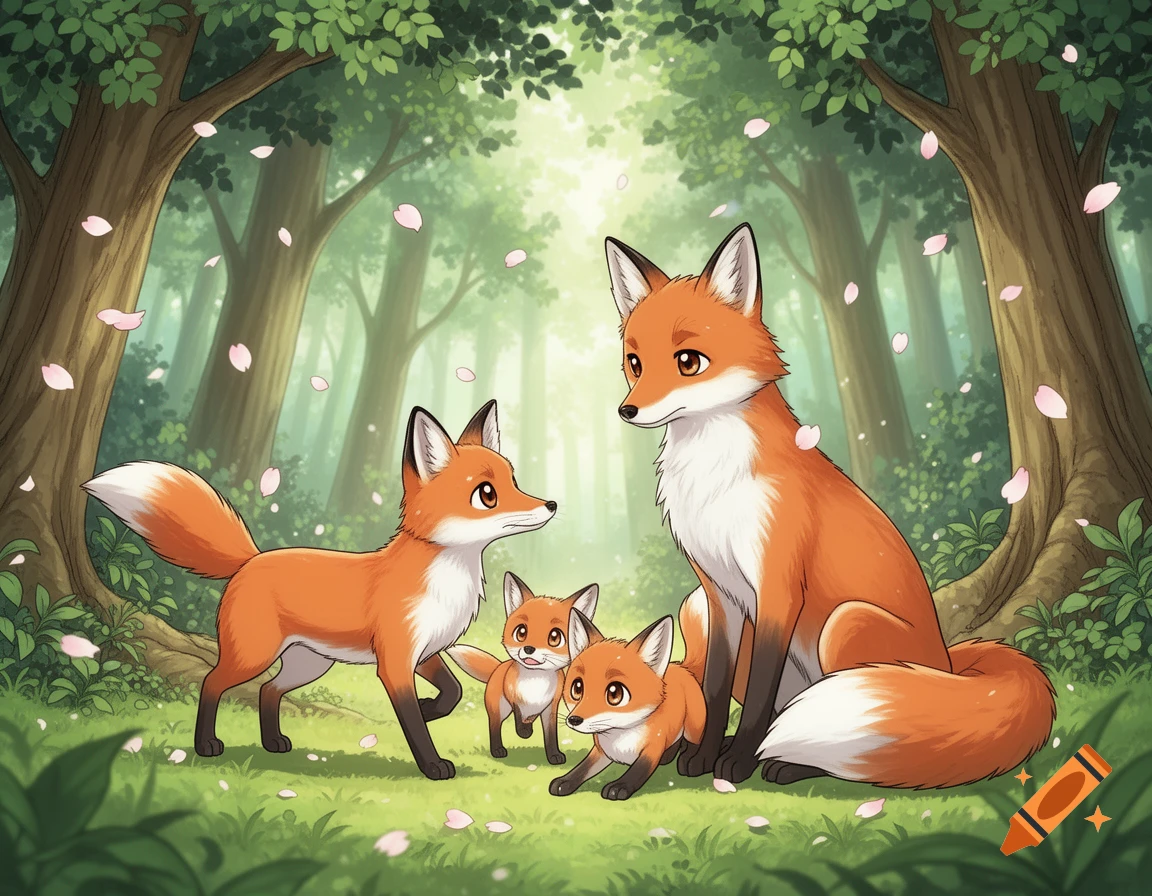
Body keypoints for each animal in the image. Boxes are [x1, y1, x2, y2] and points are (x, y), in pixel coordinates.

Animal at [81, 400, 556, 781]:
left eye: (514, 481)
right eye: (487, 494)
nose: (551, 504)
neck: (445, 580)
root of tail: (251, 559)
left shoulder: (425, 652)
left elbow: (453, 693)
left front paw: (427, 707)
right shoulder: (395, 661)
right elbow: (414, 725)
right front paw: (432, 763)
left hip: (308, 664)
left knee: (270, 691)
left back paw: (273, 743)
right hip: (254, 655)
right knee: (213, 683)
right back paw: (206, 745)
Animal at [446, 571, 598, 765]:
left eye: (555, 637)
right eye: (521, 632)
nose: (529, 649)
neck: (535, 683)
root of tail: (498, 667)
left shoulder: (550, 709)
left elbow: (550, 736)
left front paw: (554, 755)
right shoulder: (514, 698)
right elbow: (518, 716)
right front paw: (523, 732)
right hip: (499, 709)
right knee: (494, 726)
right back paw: (498, 749)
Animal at [548, 610, 705, 801]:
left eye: (615, 694)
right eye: (577, 688)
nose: (574, 720)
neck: (620, 738)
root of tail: (681, 666)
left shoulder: (651, 750)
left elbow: (637, 771)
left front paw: (619, 785)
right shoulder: (600, 752)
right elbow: (582, 768)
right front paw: (566, 780)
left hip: (694, 728)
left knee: (693, 742)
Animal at [603, 222, 1056, 789]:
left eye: (688, 362)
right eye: (634, 363)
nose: (627, 410)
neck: (715, 481)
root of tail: (948, 667)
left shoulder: (777, 586)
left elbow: (757, 698)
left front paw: (736, 764)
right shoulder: (718, 595)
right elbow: (717, 688)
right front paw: (705, 757)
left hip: (844, 626)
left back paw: (785, 763)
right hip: (699, 612)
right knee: (790, 711)